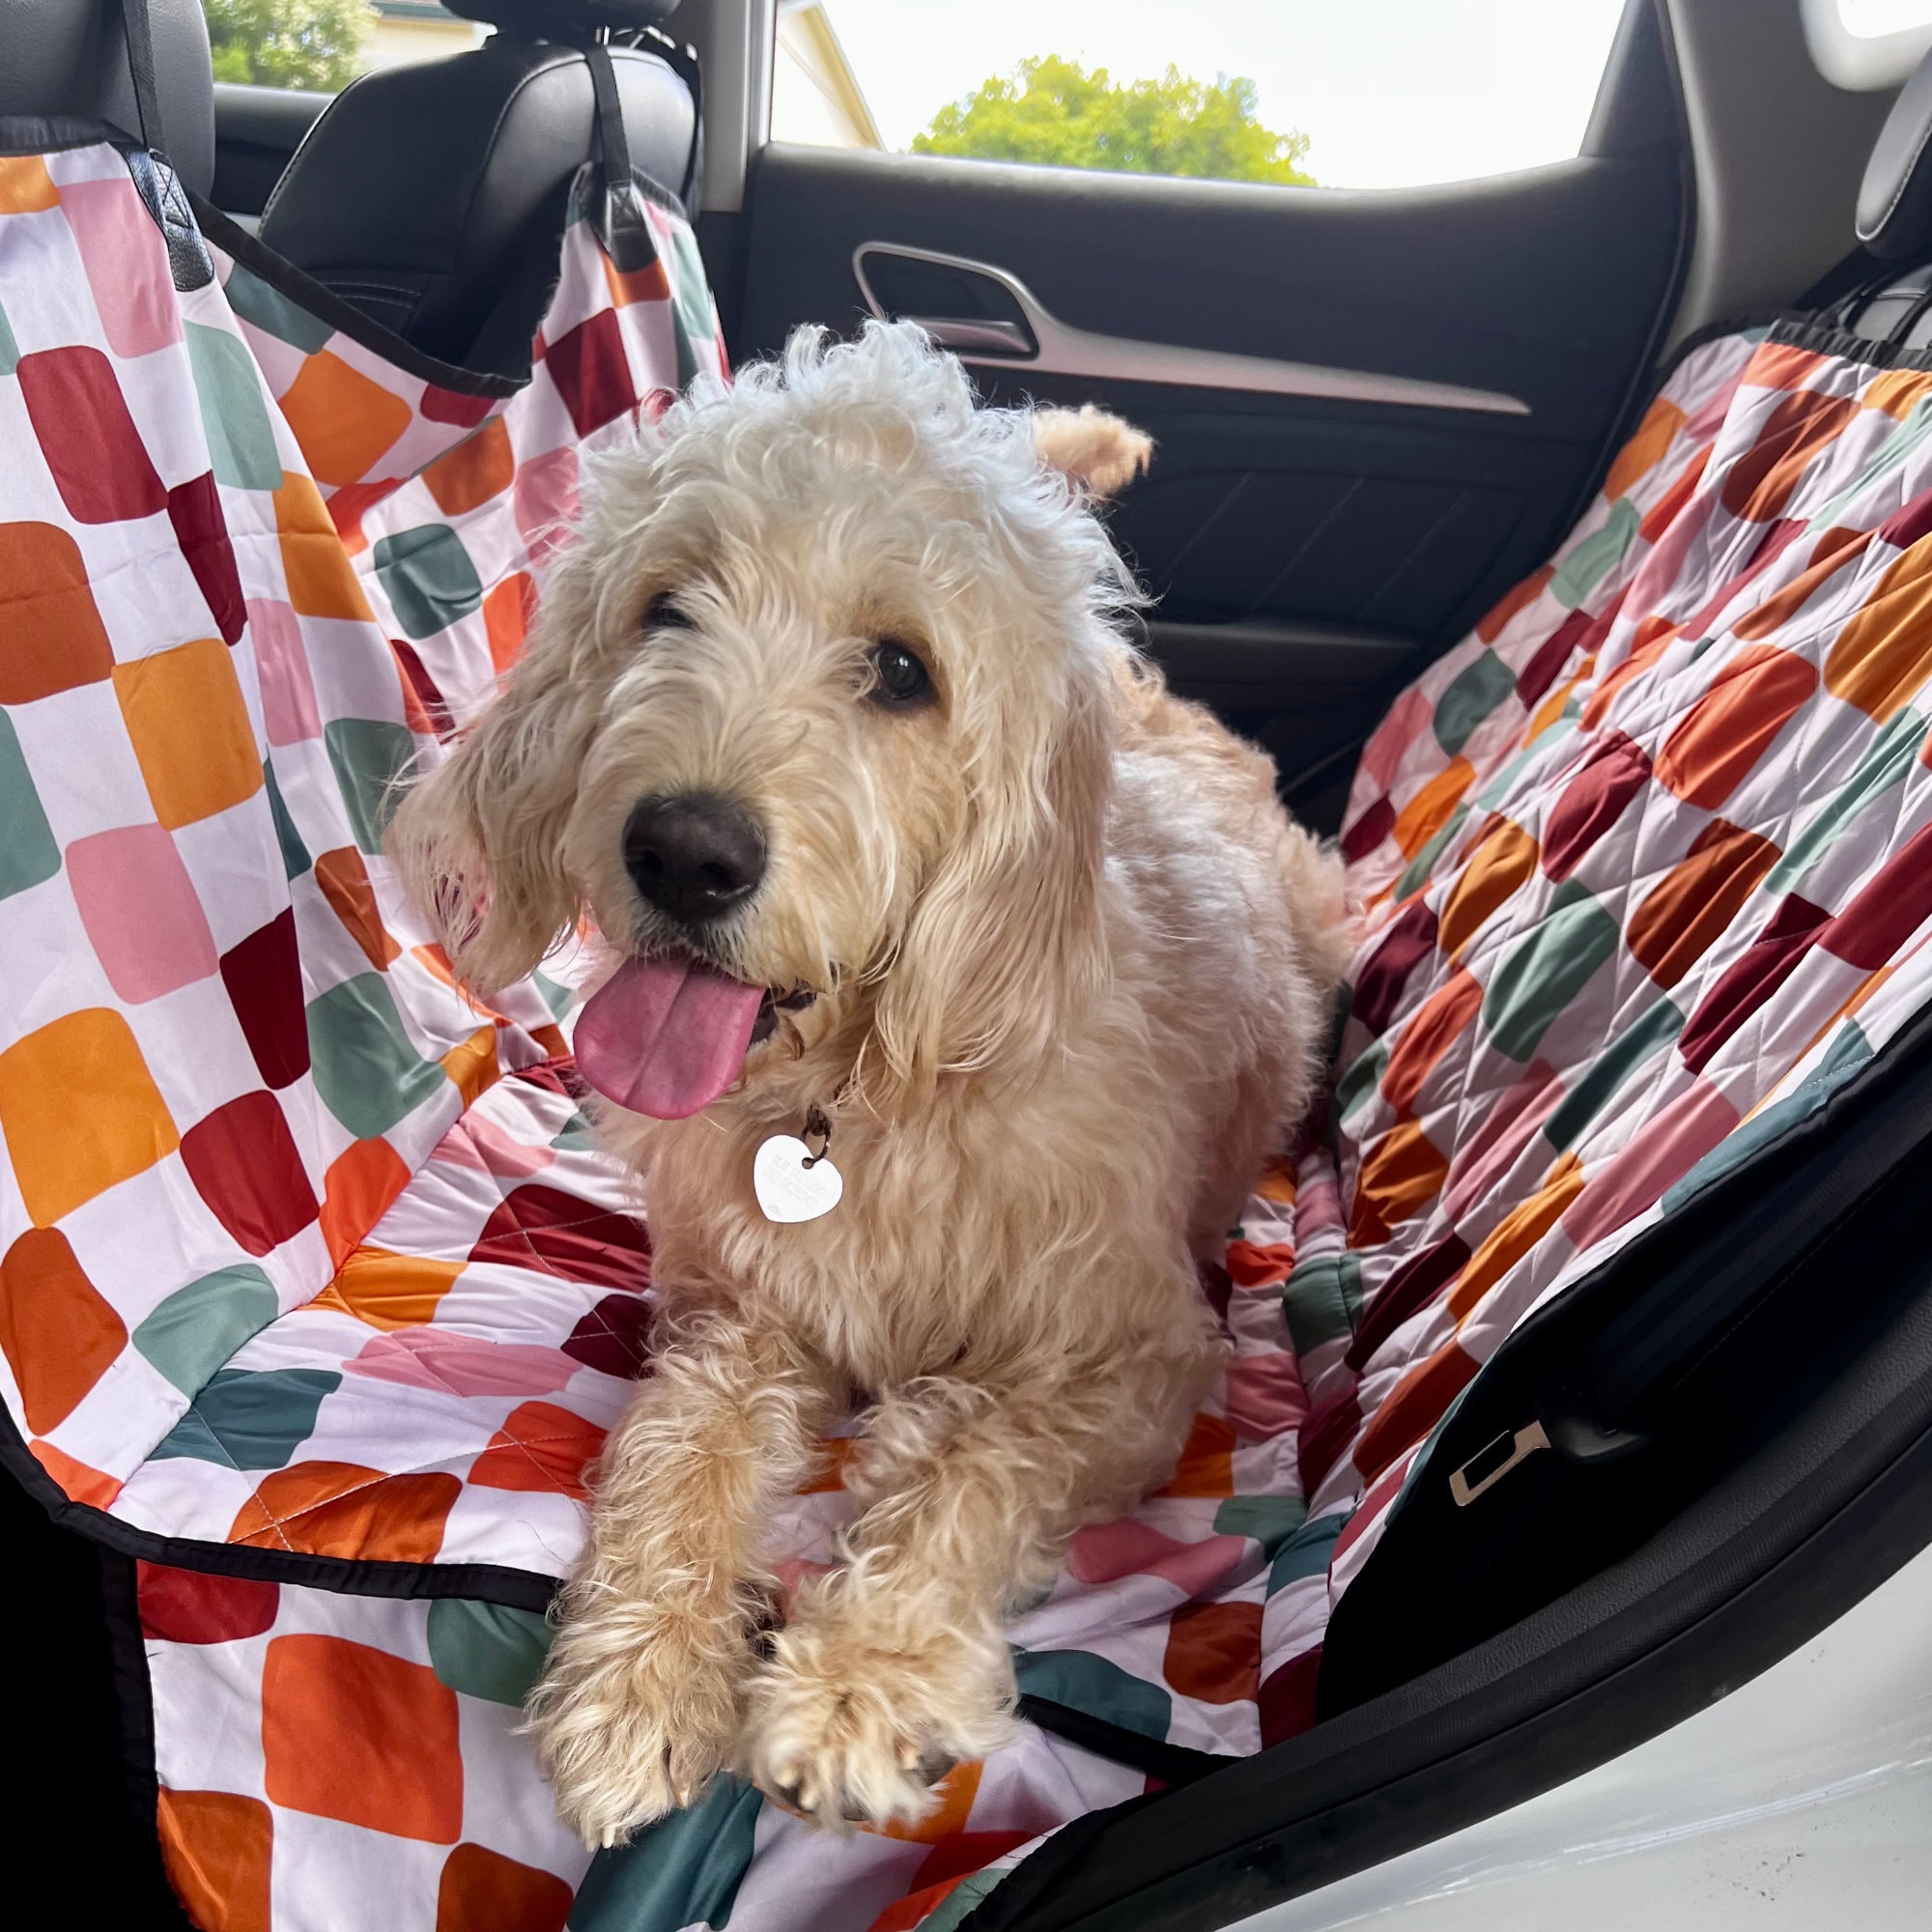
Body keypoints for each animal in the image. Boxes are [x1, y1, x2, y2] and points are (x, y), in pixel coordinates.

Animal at [390, 325, 1352, 1847]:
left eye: (903, 669)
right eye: (668, 607)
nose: (685, 852)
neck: (860, 1093)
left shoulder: (1135, 1355)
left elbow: (974, 1467)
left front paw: (858, 1680)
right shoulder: (739, 1311)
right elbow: (683, 1446)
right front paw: (639, 1677)